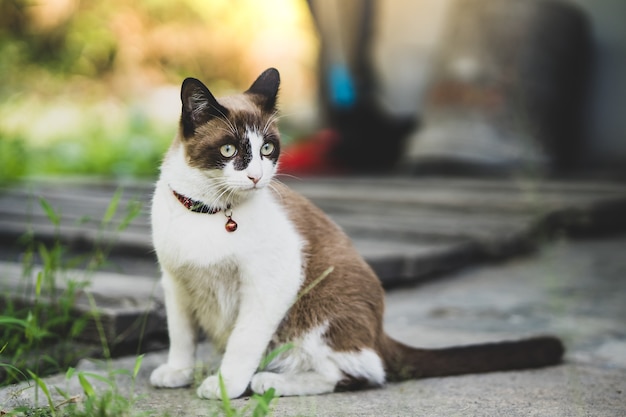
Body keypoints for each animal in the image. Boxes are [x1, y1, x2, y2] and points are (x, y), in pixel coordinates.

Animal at [149, 66, 564, 398]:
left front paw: (225, 386)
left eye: (267, 149)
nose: (255, 177)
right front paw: (178, 372)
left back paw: (270, 381)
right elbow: (181, 335)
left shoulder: (270, 282)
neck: (210, 211)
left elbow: (242, 341)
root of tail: (379, 330)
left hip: (316, 311)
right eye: (229, 150)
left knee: (362, 372)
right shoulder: (176, 281)